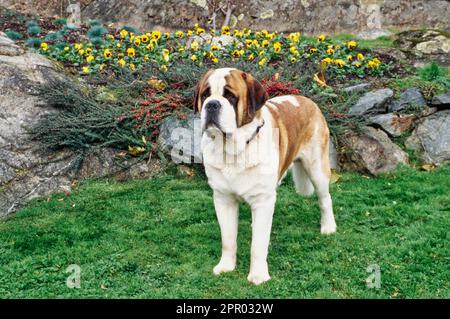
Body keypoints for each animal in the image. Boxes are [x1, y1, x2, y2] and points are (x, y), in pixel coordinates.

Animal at [194, 68, 338, 288]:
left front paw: (258, 275)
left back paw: (328, 226)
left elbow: (258, 245)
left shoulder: (263, 201)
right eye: (205, 95)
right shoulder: (223, 199)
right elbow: (228, 239)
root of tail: (305, 99)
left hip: (316, 168)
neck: (234, 151)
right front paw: (226, 266)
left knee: (325, 199)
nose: (212, 104)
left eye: (230, 96)